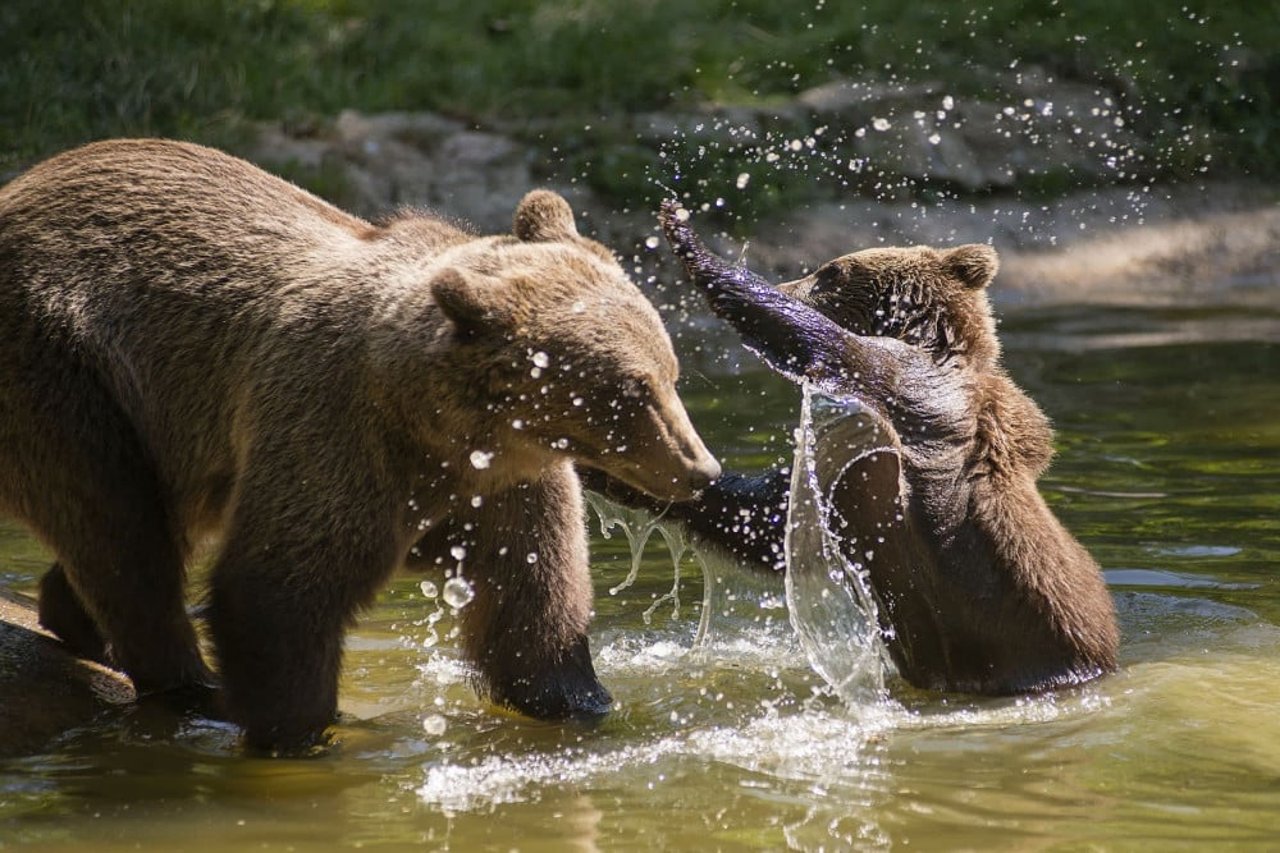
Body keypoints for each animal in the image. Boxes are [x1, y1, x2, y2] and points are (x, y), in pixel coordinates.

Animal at [0, 139, 721, 753]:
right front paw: (298, 731)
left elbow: (533, 604)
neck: (441, 427)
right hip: (69, 369)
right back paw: (189, 684)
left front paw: (583, 700)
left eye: (670, 373)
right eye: (630, 391)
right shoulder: (333, 430)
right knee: (118, 526)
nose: (701, 469)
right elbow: (280, 589)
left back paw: (78, 621)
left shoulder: (507, 483)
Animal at [588, 202, 1121, 696]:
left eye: (832, 270)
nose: (788, 282)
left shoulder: (910, 389)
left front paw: (685, 234)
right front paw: (613, 474)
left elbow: (819, 341)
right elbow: (764, 515)